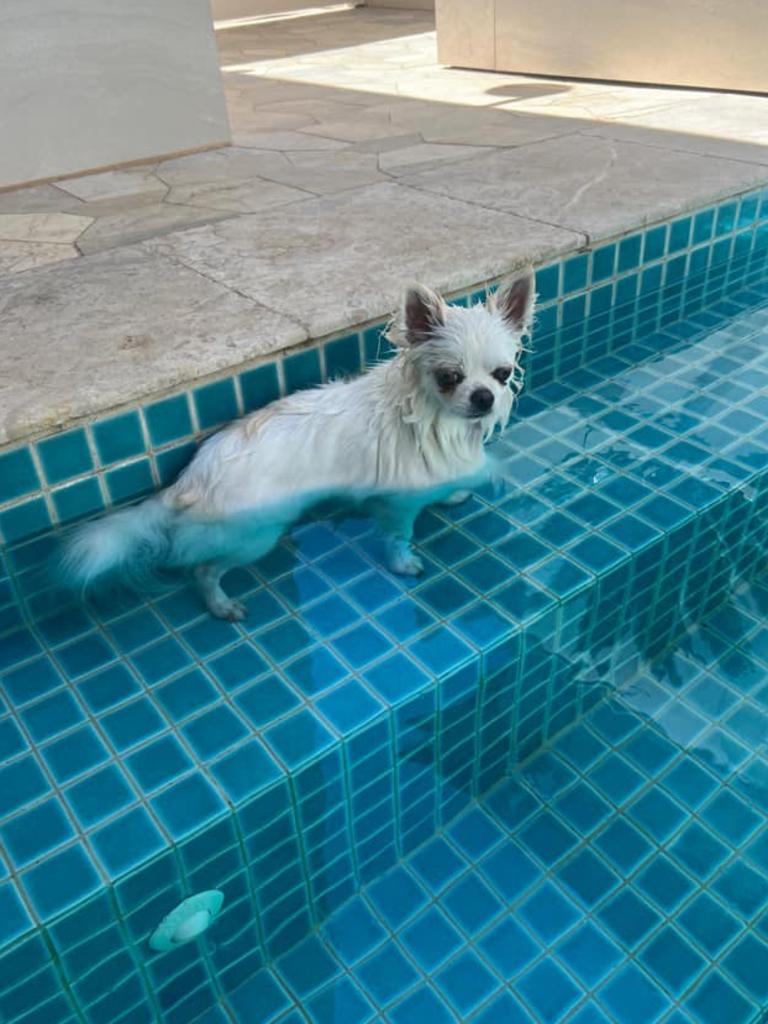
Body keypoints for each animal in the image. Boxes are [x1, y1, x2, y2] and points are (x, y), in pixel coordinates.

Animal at [64, 266, 536, 614]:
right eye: (449, 378)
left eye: (502, 374)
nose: (483, 397)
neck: (436, 421)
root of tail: (189, 481)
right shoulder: (396, 504)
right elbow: (399, 536)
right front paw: (403, 564)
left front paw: (452, 494)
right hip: (255, 536)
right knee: (203, 570)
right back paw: (220, 604)